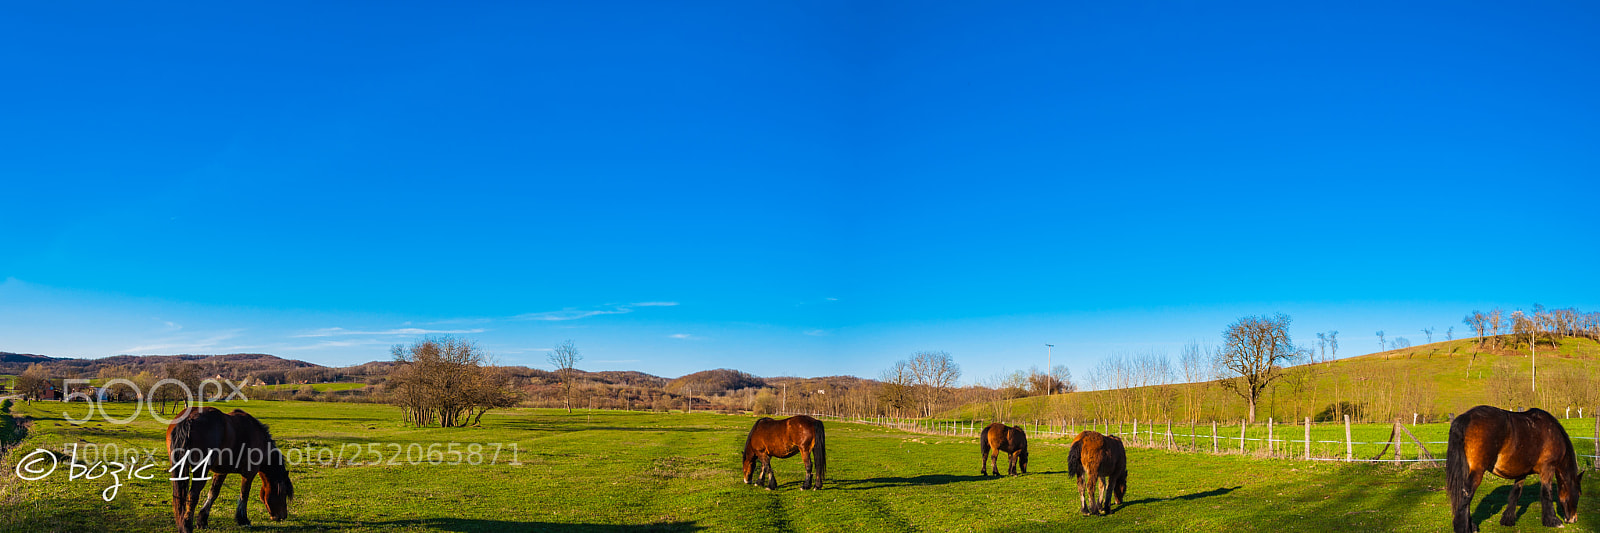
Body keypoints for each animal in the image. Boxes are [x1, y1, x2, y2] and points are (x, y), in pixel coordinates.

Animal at [166, 407, 294, 533]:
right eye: (283, 493)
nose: (283, 516)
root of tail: (189, 418)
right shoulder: (249, 473)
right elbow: (244, 494)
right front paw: (243, 519)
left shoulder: (221, 471)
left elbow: (213, 493)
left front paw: (202, 520)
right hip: (201, 470)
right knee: (192, 495)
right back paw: (186, 526)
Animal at [1447, 405, 1583, 532]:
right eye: (1579, 493)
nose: (1574, 519)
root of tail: (1467, 417)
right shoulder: (1548, 469)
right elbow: (1546, 493)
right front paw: (1553, 521)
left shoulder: (1522, 472)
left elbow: (1516, 493)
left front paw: (1508, 519)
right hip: (1478, 471)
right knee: (1467, 493)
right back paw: (1463, 527)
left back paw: (1471, 526)